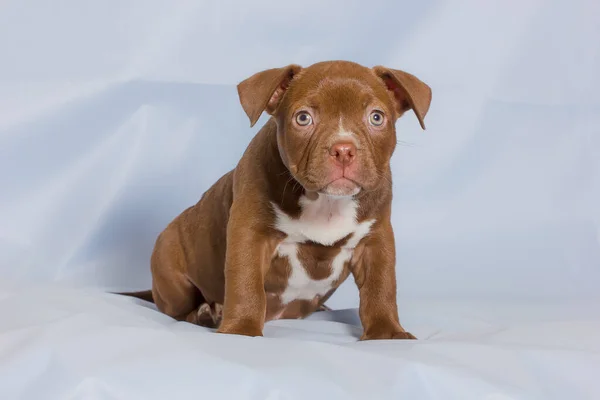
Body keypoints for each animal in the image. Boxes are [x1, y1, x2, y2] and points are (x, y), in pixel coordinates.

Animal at [124, 61, 428, 340]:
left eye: (376, 117)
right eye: (303, 118)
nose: (343, 149)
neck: (326, 202)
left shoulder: (376, 239)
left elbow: (381, 286)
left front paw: (387, 332)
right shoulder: (250, 233)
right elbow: (245, 282)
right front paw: (241, 329)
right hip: (171, 269)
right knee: (177, 310)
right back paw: (205, 314)